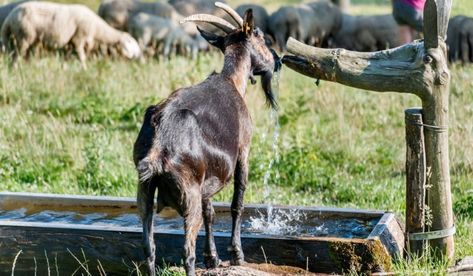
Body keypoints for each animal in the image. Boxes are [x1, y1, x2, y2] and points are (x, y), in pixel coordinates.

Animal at [2, 1, 141, 67]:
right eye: (131, 43)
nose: (138, 55)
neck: (97, 28)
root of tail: (10, 17)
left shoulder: (70, 42)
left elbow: (66, 58)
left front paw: (63, 68)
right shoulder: (79, 38)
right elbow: (81, 57)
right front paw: (85, 69)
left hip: (30, 39)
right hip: (24, 36)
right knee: (17, 55)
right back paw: (15, 69)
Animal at [132, 2, 280, 276]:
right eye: (261, 36)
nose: (275, 60)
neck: (232, 80)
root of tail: (159, 142)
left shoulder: (208, 177)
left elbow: (210, 212)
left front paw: (212, 258)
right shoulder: (244, 151)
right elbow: (237, 203)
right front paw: (236, 254)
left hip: (144, 191)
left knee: (149, 247)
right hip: (187, 191)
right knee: (186, 251)